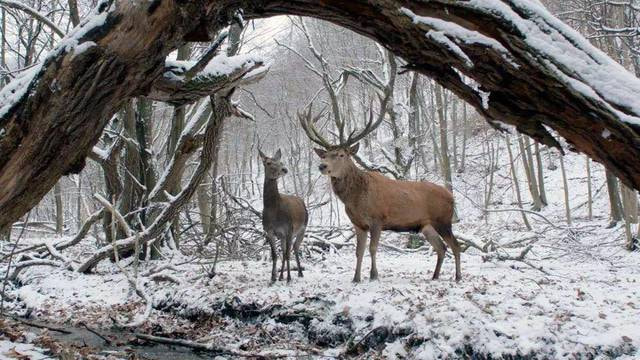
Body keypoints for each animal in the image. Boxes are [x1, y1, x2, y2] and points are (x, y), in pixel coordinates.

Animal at [260, 148, 310, 282]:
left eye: (280, 161)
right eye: (268, 163)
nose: (284, 169)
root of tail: (301, 200)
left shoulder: (289, 229)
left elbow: (287, 254)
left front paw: (289, 278)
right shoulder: (269, 230)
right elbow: (274, 255)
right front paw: (273, 277)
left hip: (302, 228)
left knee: (294, 248)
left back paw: (299, 273)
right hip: (283, 235)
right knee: (284, 251)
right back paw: (281, 275)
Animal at [298, 102, 462, 282]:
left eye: (341, 154)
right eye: (325, 155)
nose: (322, 166)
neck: (355, 199)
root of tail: (451, 196)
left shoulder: (377, 219)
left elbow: (373, 248)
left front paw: (373, 275)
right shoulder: (358, 224)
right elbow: (359, 251)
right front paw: (356, 278)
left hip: (443, 220)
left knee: (456, 246)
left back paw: (458, 276)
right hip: (426, 226)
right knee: (441, 248)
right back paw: (435, 276)